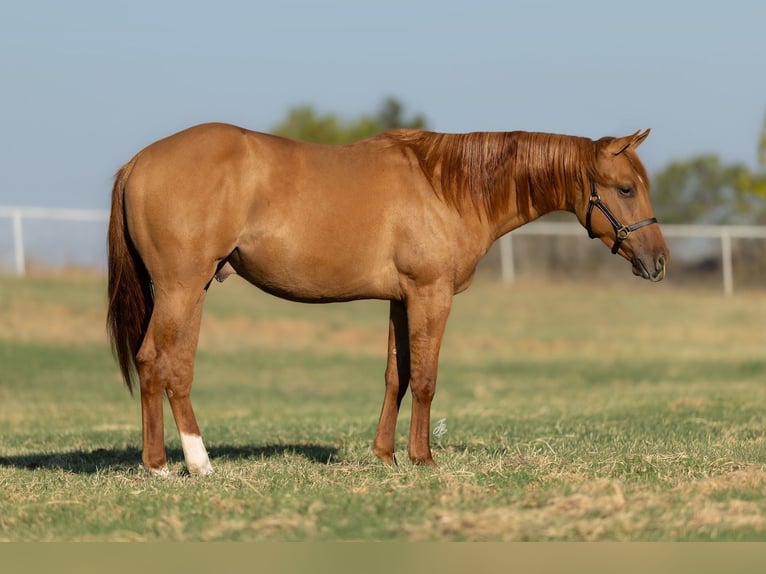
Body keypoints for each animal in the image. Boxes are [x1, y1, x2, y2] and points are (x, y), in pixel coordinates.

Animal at [107, 123, 668, 476]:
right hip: (181, 289)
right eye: (624, 188)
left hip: (192, 290)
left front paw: (385, 456)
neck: (447, 188)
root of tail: (137, 162)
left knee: (172, 367)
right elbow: (424, 379)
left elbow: (395, 375)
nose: (659, 261)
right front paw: (422, 459)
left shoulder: (402, 299)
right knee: (157, 362)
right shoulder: (431, 293)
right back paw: (173, 466)